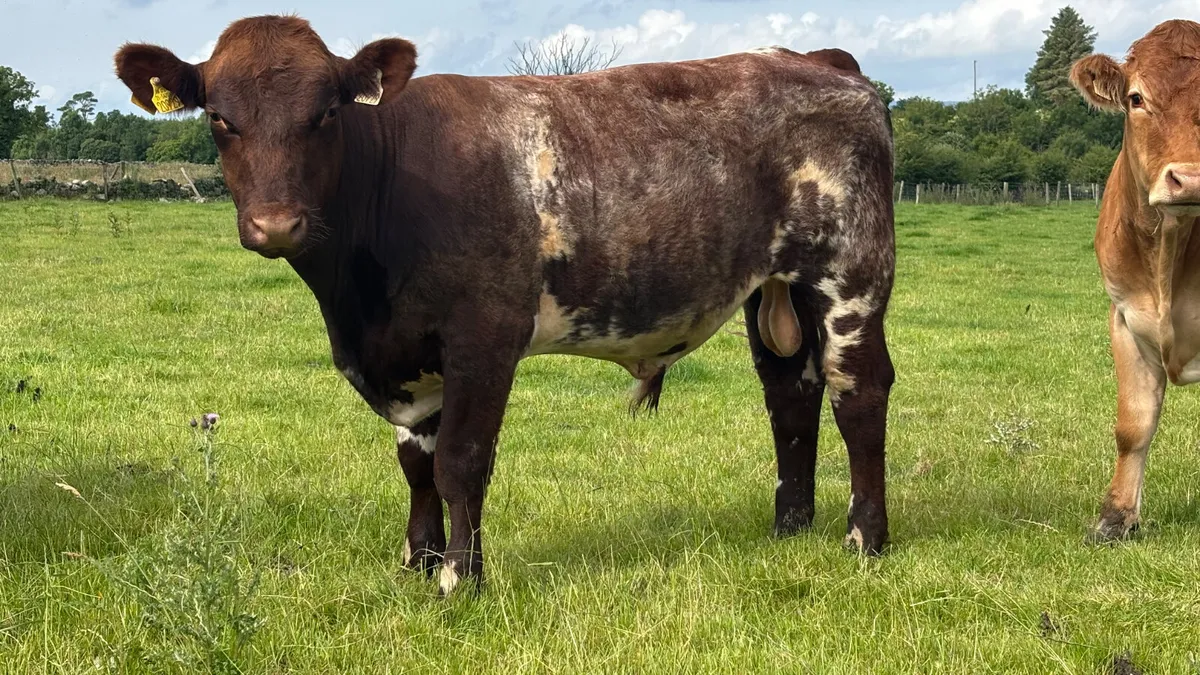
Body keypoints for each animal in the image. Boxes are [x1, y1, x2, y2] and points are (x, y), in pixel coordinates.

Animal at [114, 15, 897, 595]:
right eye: (220, 117)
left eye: (326, 112)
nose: (276, 224)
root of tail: (820, 59)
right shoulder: (407, 356)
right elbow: (416, 463)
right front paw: (419, 560)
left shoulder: (484, 338)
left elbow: (461, 462)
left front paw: (460, 578)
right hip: (774, 286)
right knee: (790, 394)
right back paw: (789, 528)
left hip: (852, 273)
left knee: (857, 391)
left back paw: (866, 537)